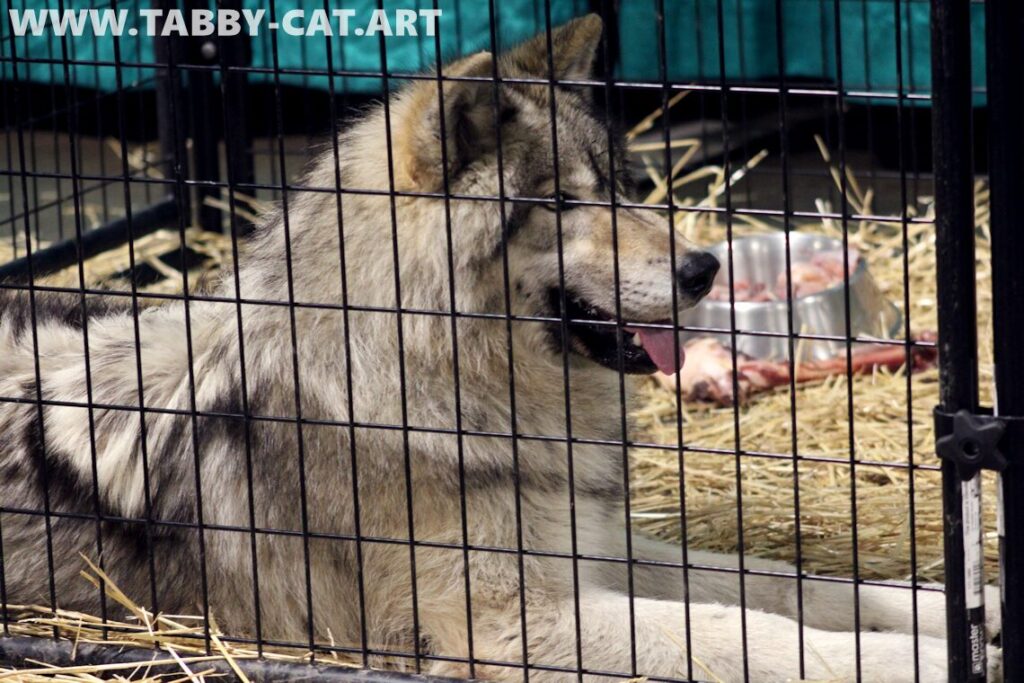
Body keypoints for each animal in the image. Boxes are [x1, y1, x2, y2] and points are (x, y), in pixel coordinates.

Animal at [0, 14, 1001, 682]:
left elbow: (789, 584)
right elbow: (749, 633)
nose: (703, 267)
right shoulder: (512, 622)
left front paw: (951, 616)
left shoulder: (589, 549)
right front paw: (914, 660)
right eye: (558, 203)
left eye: (625, 184)